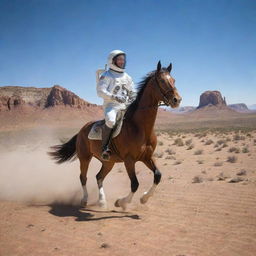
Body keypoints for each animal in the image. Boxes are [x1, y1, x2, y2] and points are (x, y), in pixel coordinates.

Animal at [47, 61, 181, 211]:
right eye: (162, 80)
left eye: (173, 80)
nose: (177, 100)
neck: (139, 127)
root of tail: (82, 130)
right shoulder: (129, 161)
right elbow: (135, 184)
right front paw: (121, 202)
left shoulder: (147, 157)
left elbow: (158, 175)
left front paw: (144, 198)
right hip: (85, 158)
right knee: (83, 177)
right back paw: (85, 200)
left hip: (108, 162)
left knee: (99, 177)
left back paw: (102, 201)